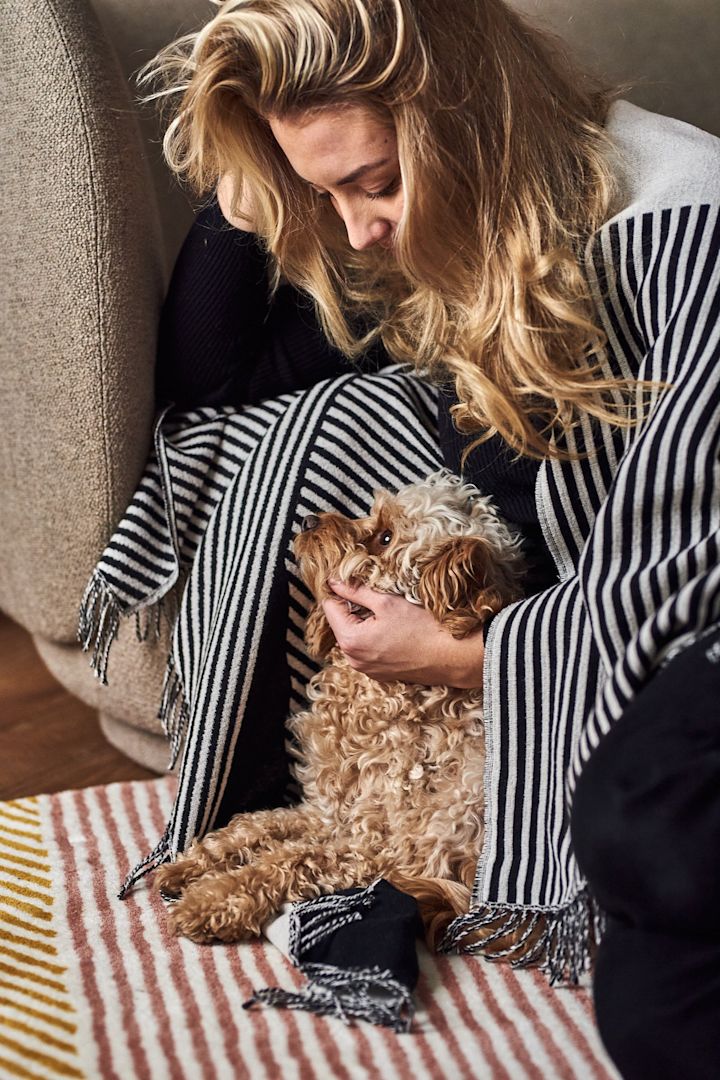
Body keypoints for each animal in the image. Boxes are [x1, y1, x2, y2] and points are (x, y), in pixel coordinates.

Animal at [155, 473, 524, 946]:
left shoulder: (372, 845)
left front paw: (212, 900)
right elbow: (255, 826)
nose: (310, 519)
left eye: (385, 537)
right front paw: (188, 865)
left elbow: (288, 860)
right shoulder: (328, 813)